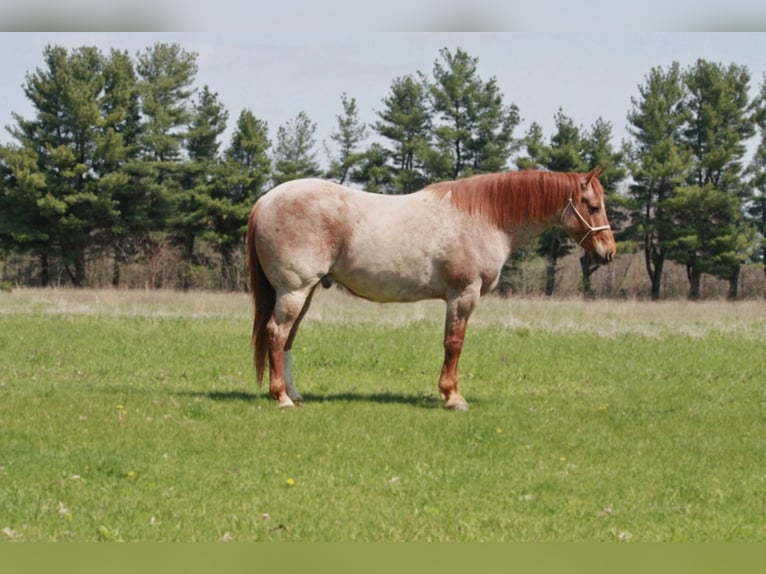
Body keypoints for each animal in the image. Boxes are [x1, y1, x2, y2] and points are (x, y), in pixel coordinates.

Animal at [248, 169, 616, 412]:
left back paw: (294, 394)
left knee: (287, 339)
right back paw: (282, 398)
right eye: (593, 206)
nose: (609, 252)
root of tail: (265, 201)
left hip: (304, 292)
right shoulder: (463, 294)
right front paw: (453, 396)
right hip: (294, 290)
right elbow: (454, 343)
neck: (484, 218)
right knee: (276, 333)